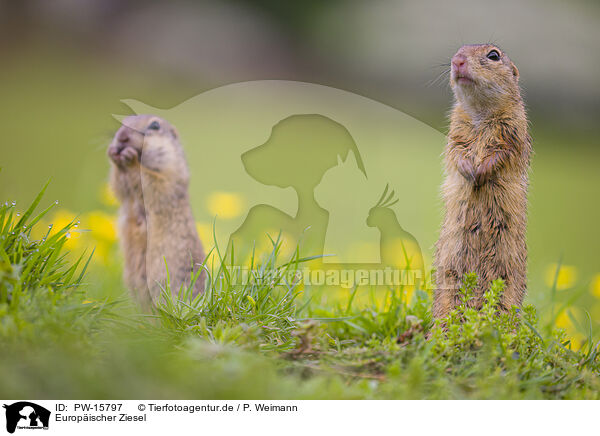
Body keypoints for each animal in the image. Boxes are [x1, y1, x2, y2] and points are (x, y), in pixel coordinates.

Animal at [106, 116, 204, 306]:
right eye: (123, 122)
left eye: (155, 125)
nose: (121, 137)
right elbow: (118, 185)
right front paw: (113, 153)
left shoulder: (169, 174)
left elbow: (151, 181)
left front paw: (130, 158)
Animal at [434, 44, 532, 318]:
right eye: (458, 49)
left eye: (494, 55)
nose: (457, 61)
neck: (480, 112)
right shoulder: (455, 130)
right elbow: (456, 150)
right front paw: (469, 169)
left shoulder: (514, 130)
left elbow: (503, 153)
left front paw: (481, 171)